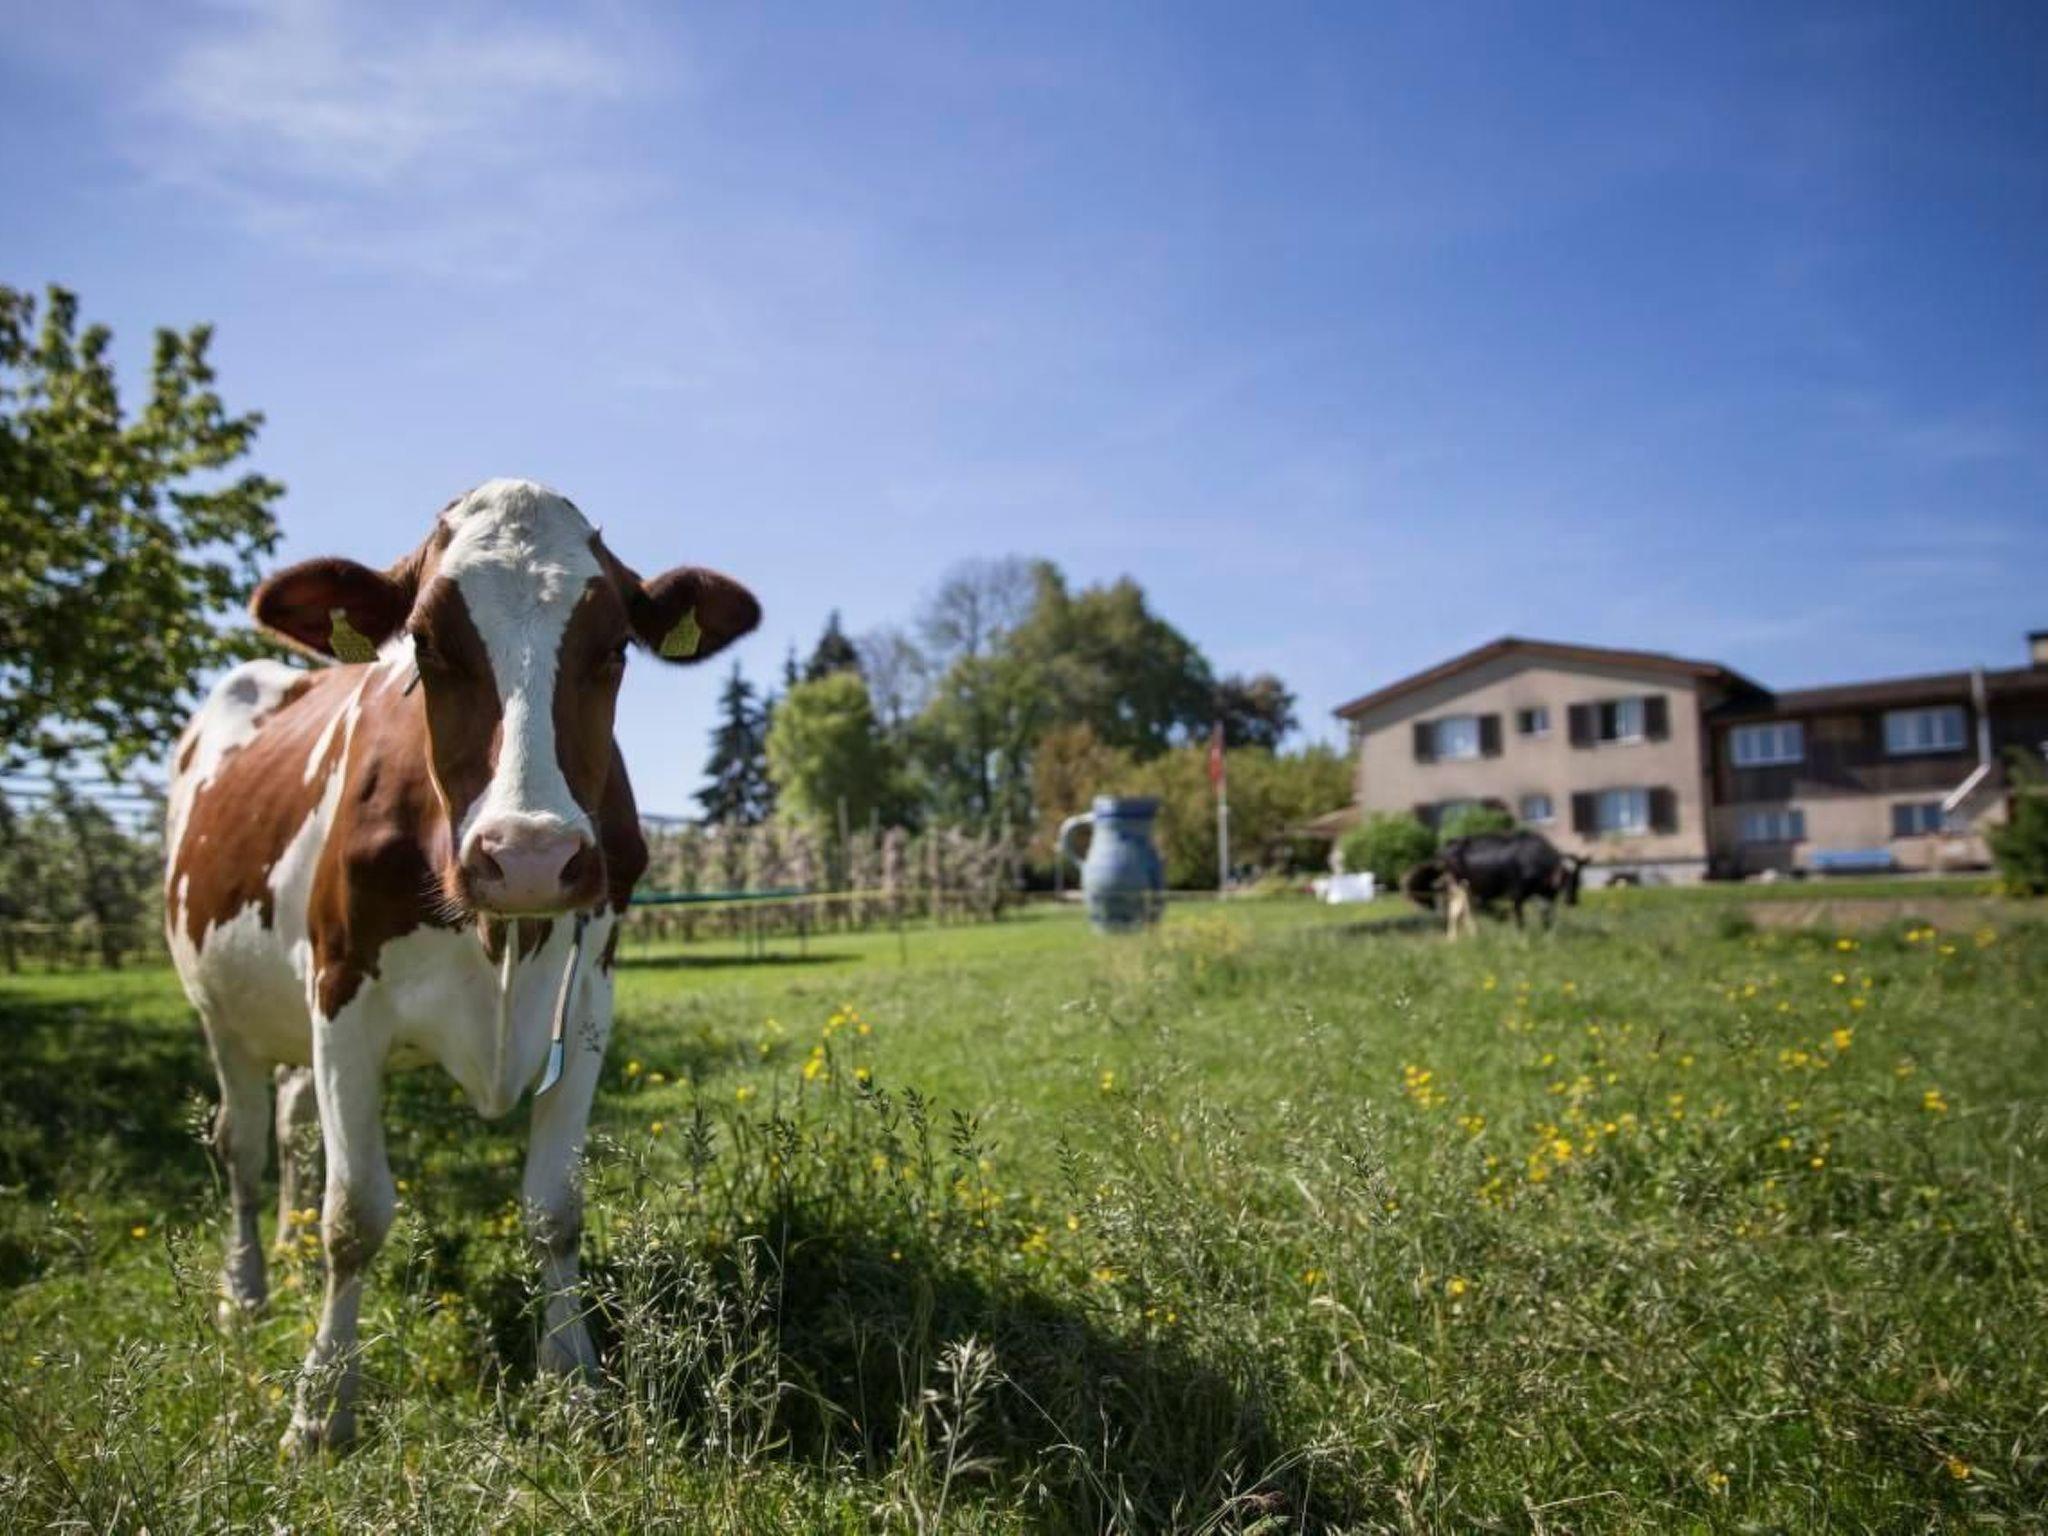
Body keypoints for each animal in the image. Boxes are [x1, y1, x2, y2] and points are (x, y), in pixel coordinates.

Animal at [164, 479, 758, 1453]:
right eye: (428, 644)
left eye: (613, 649)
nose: (528, 855)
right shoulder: (342, 998)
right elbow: (355, 1216)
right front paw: (321, 1404)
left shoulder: (587, 1002)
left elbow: (555, 1205)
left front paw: (572, 1380)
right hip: (221, 1012)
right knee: (241, 1143)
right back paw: (246, 1286)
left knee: (289, 1125)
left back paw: (281, 1247)